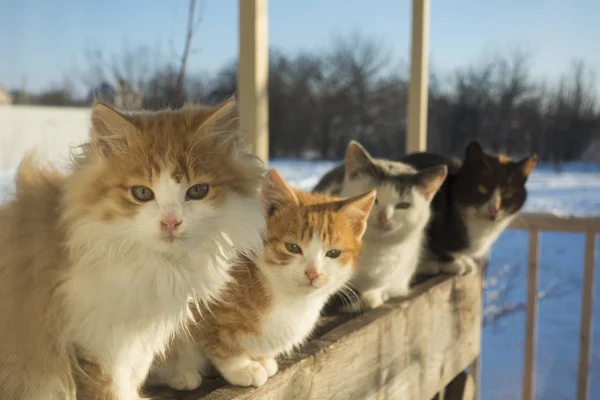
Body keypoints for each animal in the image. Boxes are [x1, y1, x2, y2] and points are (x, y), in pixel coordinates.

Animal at [0, 97, 264, 400]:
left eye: (198, 191)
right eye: (142, 193)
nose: (171, 222)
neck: (158, 265)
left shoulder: (136, 340)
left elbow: (134, 374)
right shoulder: (94, 341)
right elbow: (111, 388)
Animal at [149, 170, 376, 390]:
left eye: (333, 253)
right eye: (293, 247)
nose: (313, 273)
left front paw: (261, 360)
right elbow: (219, 340)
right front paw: (241, 368)